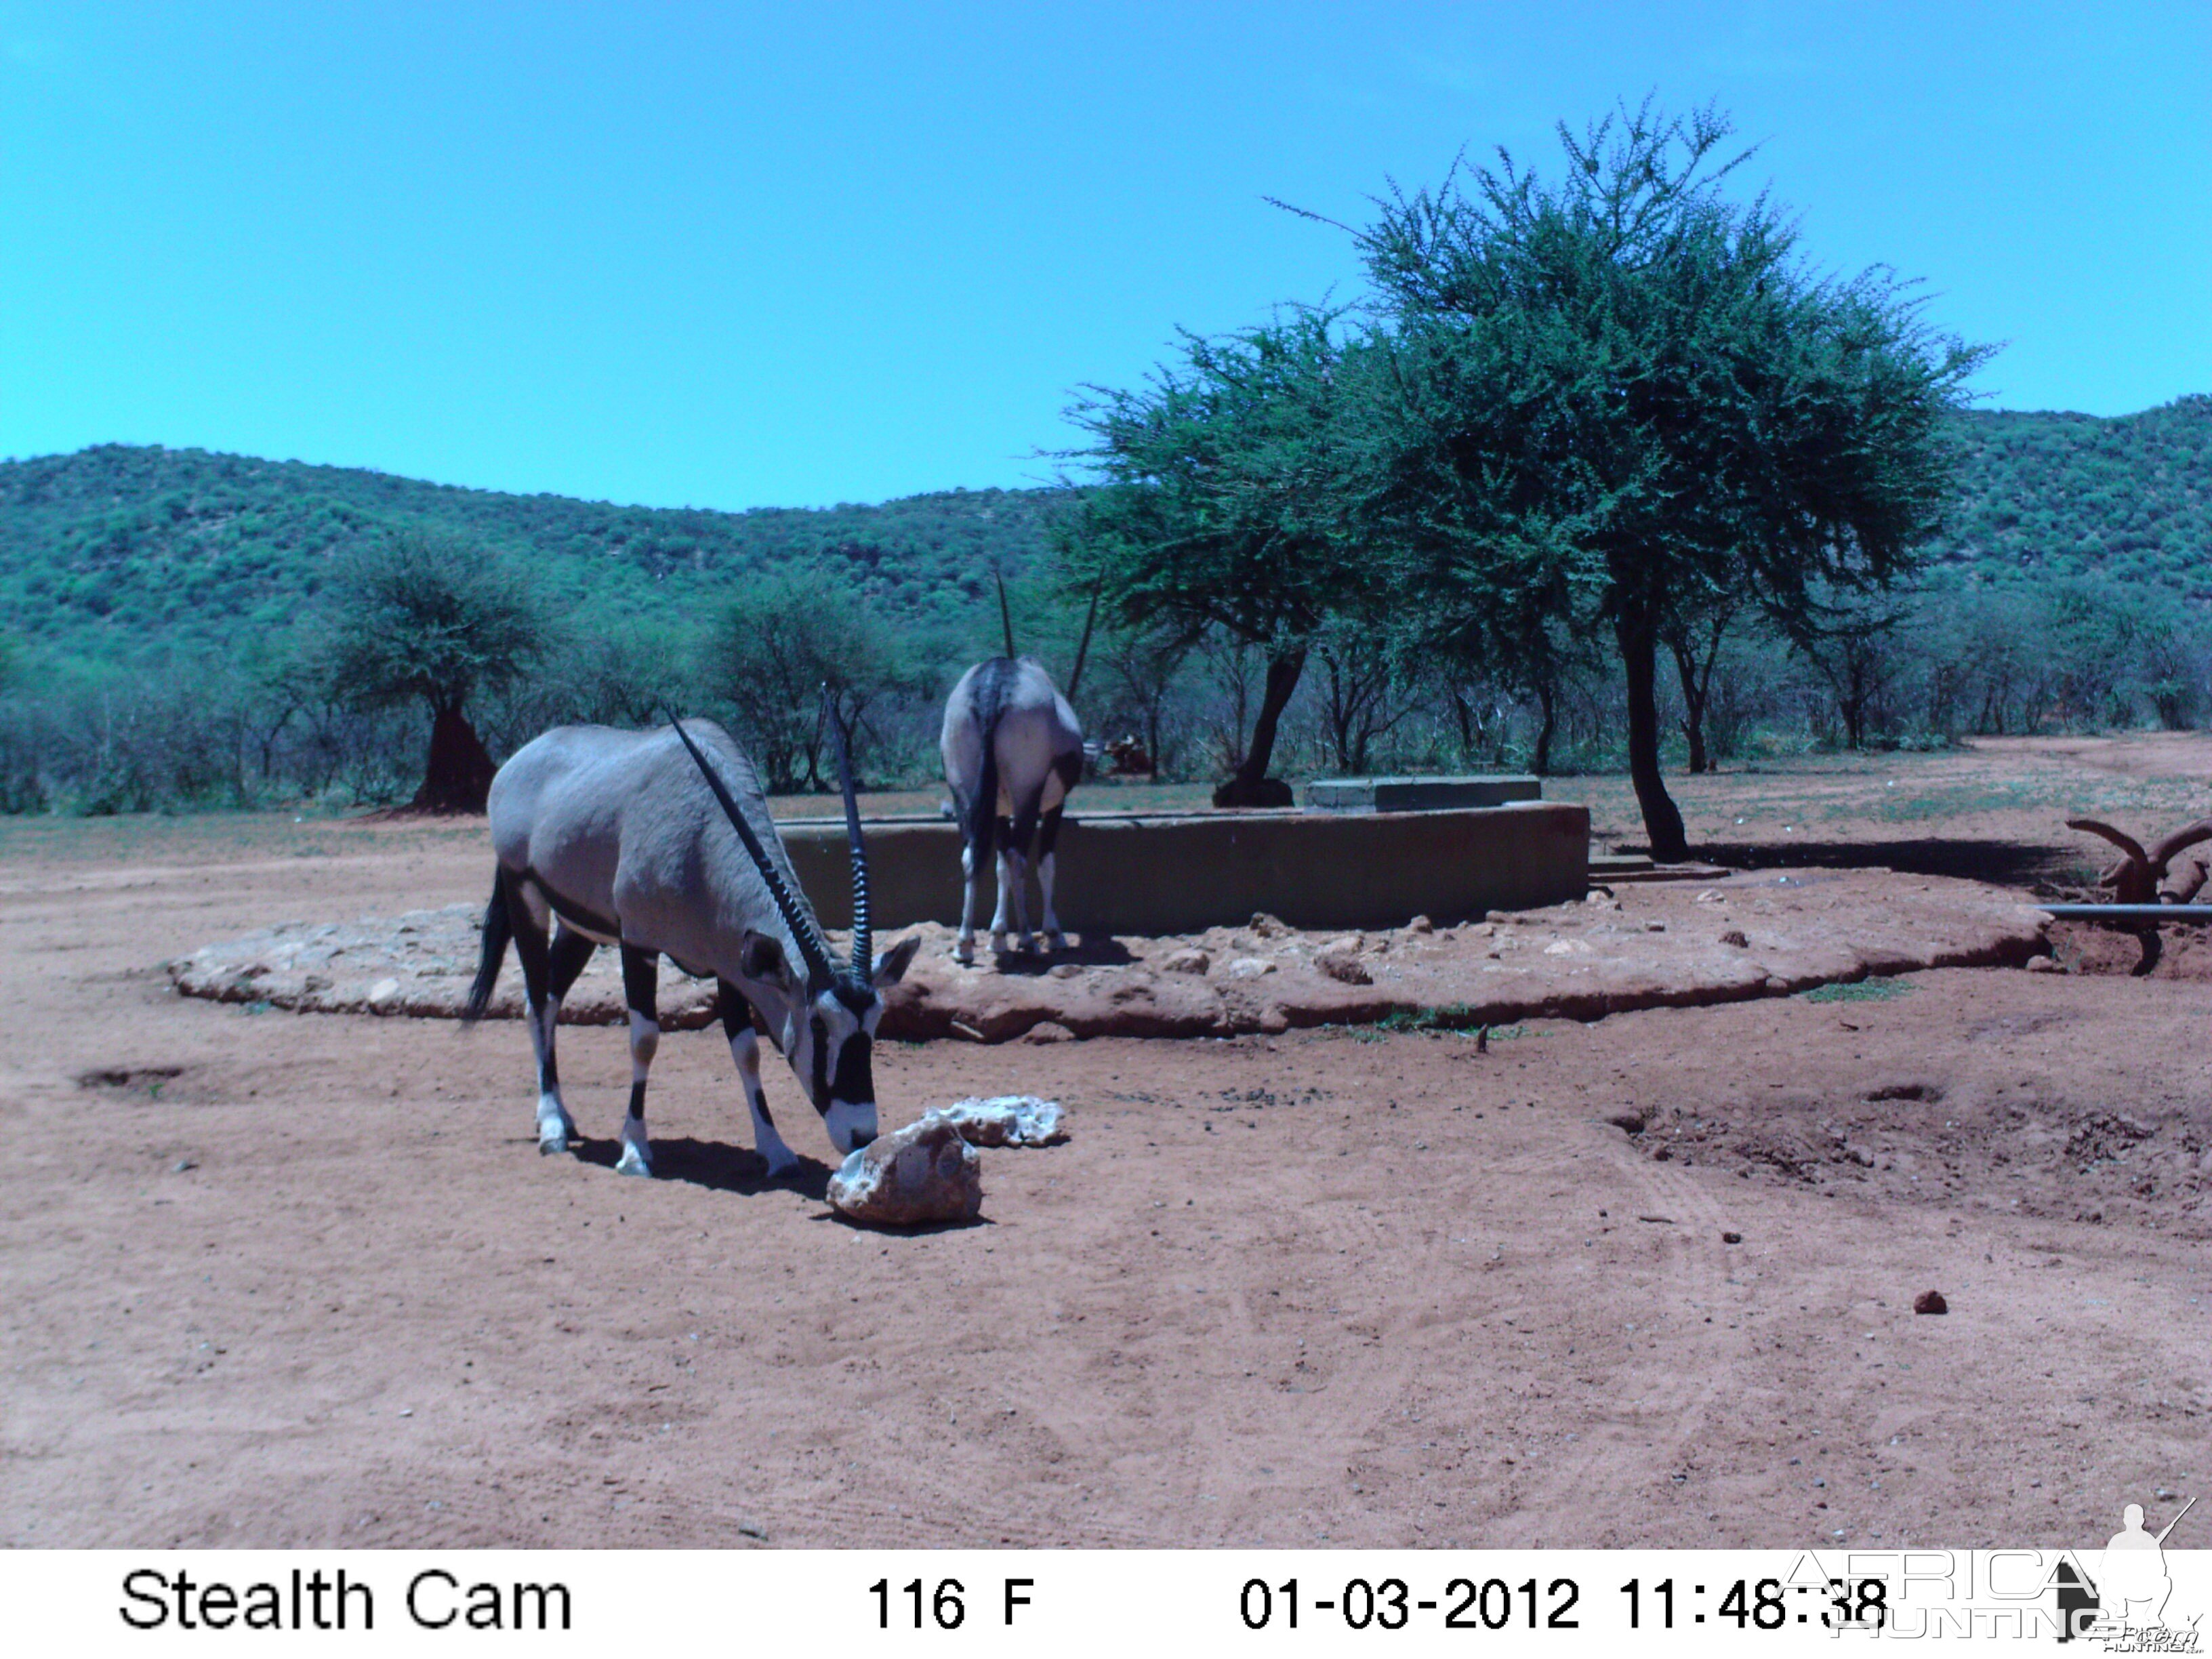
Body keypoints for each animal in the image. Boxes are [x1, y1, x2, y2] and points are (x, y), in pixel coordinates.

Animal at [466, 716, 916, 1185]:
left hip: (579, 928)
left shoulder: (731, 964)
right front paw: (635, 1151)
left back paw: (561, 1119)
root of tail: (518, 761)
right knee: (537, 1001)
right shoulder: (639, 944)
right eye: (820, 1026)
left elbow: (747, 1051)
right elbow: (644, 1040)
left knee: (549, 1000)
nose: (861, 1135)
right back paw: (552, 1125)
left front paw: (775, 1151)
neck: (701, 839)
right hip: (526, 896)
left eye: (874, 1023)